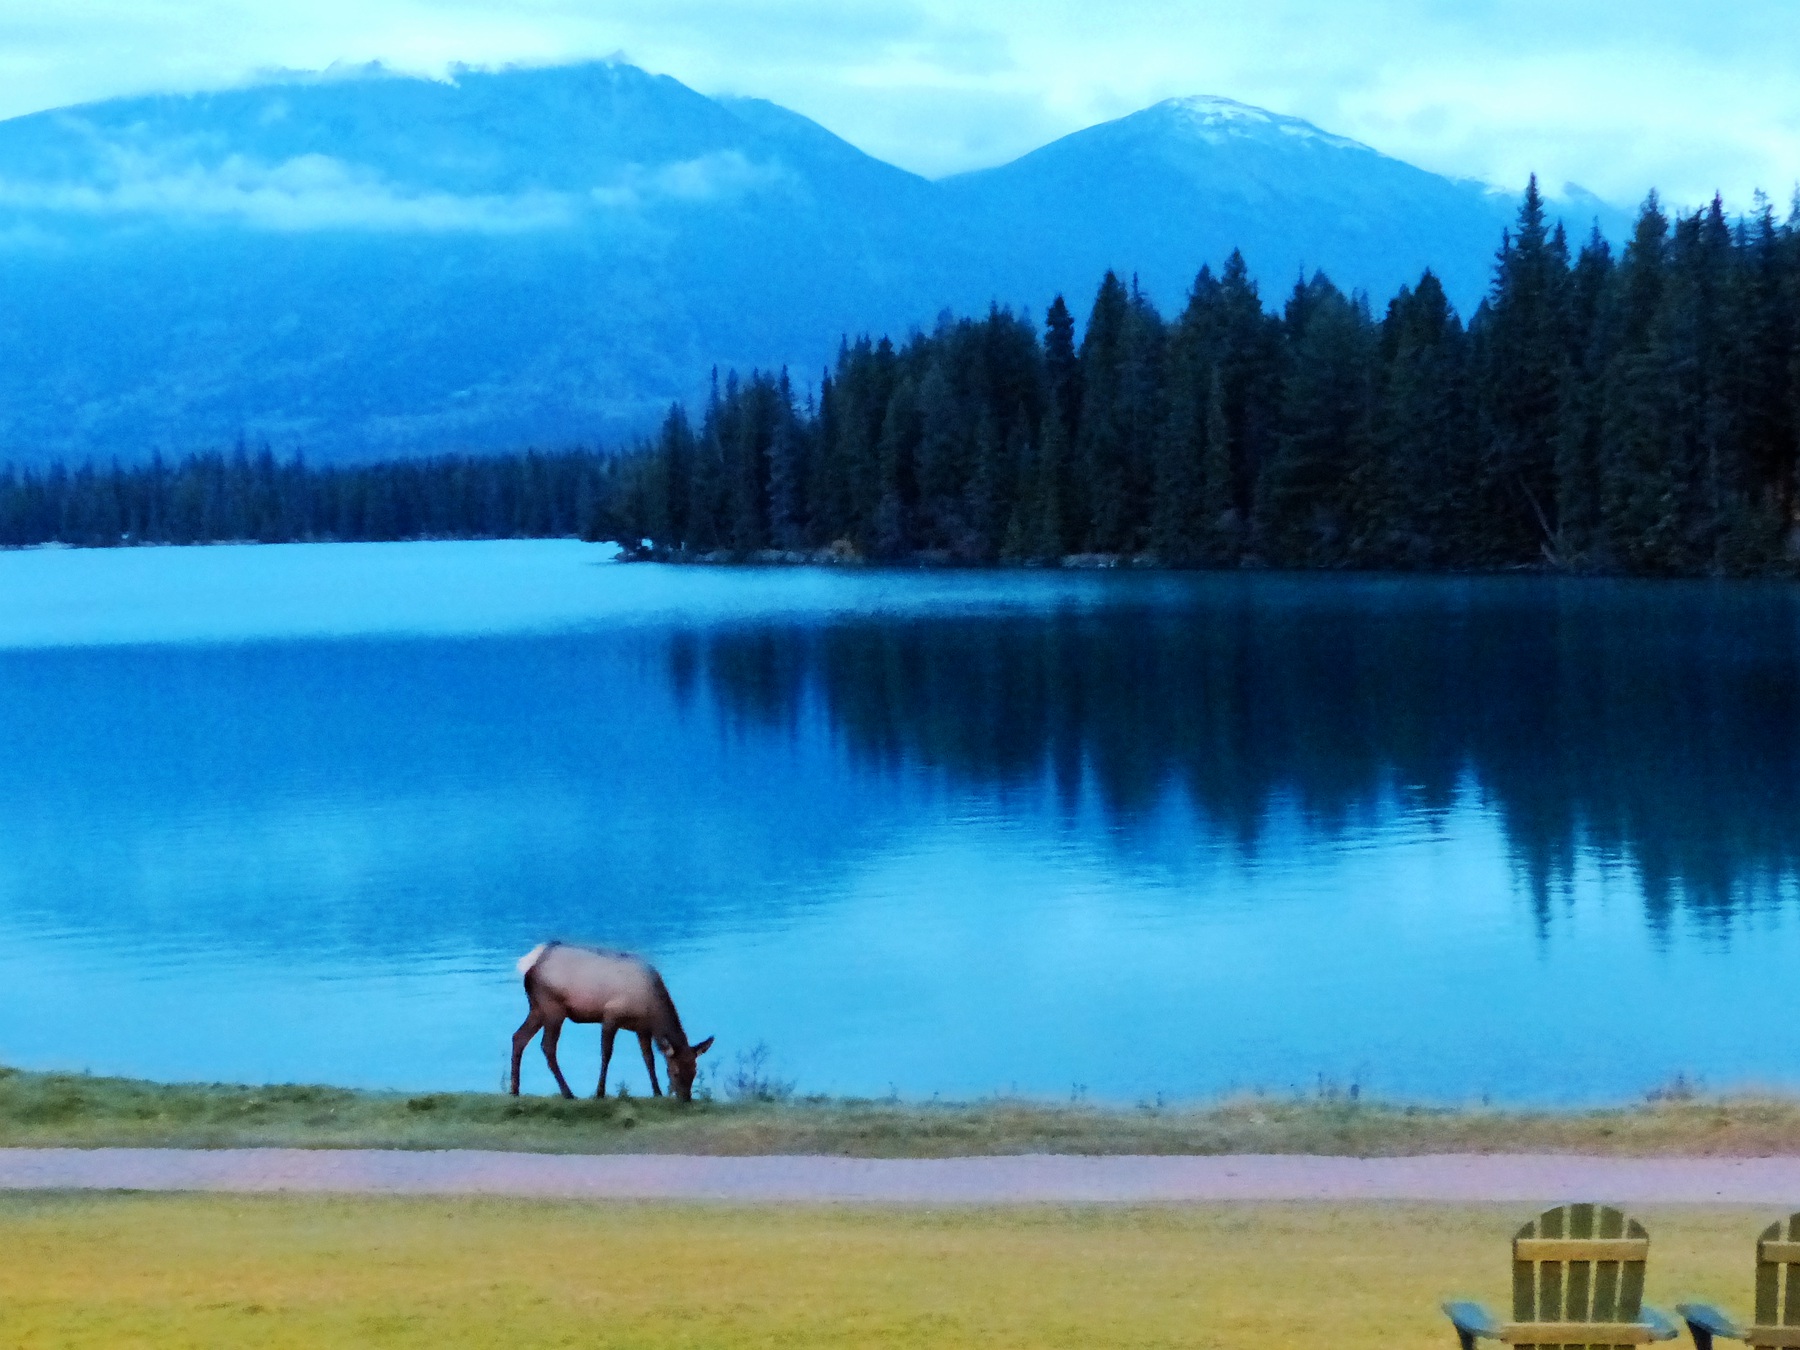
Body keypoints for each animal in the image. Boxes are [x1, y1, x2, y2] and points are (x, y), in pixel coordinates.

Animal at [511, 943, 712, 1101]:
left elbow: (649, 1059)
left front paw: (657, 1092)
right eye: (675, 1071)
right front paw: (599, 1093)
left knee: (518, 1037)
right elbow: (606, 1054)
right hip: (553, 1008)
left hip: (537, 1008)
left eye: (695, 1071)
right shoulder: (610, 1016)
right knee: (547, 1046)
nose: (686, 1098)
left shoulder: (642, 1029)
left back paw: (515, 1090)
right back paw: (568, 1093)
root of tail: (531, 964)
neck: (652, 1011)